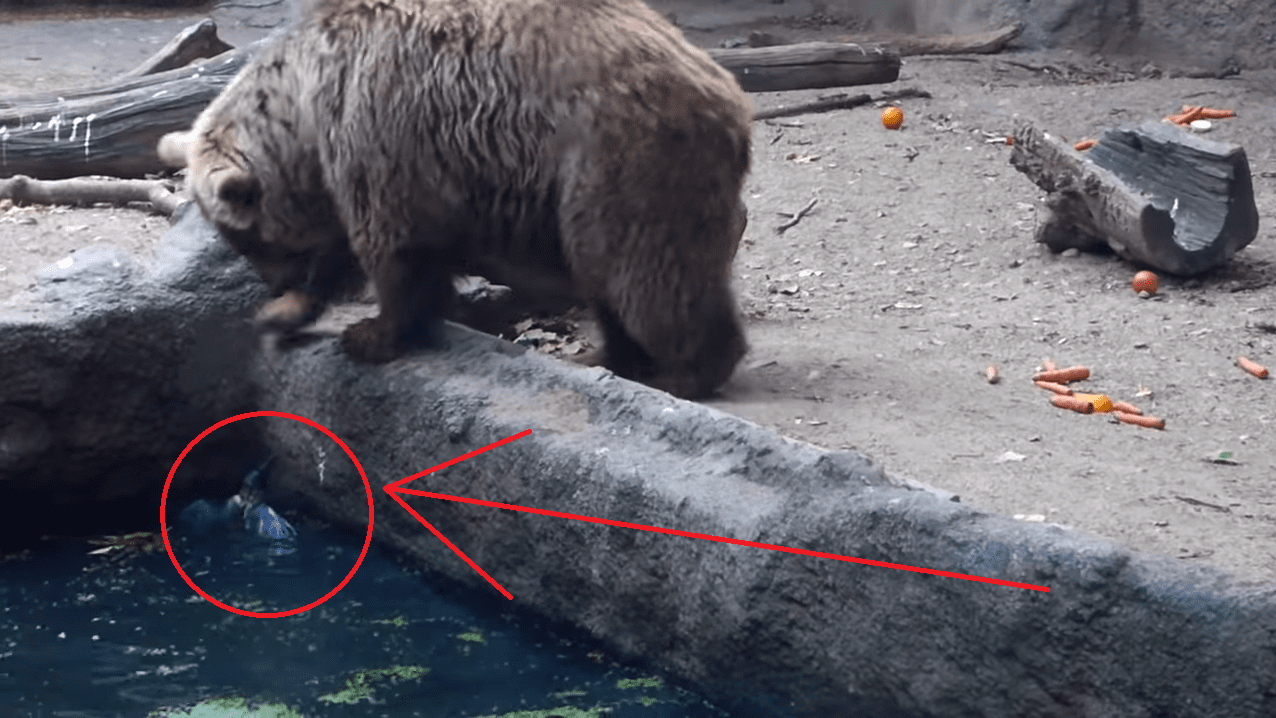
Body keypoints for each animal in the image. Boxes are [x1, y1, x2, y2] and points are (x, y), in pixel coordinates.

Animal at [161, 0, 753, 399]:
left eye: (249, 240)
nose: (273, 284)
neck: (303, 113)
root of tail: (728, 93)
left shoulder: (377, 127)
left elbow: (394, 248)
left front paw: (370, 333)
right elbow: (347, 248)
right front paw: (283, 314)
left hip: (619, 160)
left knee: (645, 271)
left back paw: (686, 370)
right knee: (608, 279)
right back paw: (604, 353)